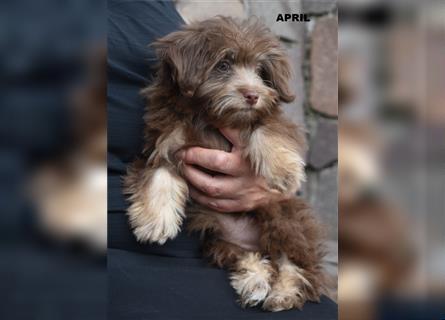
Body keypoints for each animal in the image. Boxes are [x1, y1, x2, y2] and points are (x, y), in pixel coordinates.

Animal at [123, 16, 324, 310]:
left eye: (261, 71)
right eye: (223, 65)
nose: (253, 95)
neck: (209, 116)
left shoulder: (271, 117)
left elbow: (266, 128)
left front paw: (284, 170)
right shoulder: (162, 140)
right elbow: (159, 174)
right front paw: (155, 221)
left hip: (284, 217)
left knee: (295, 262)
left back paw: (283, 292)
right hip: (220, 236)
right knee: (251, 256)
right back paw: (255, 280)